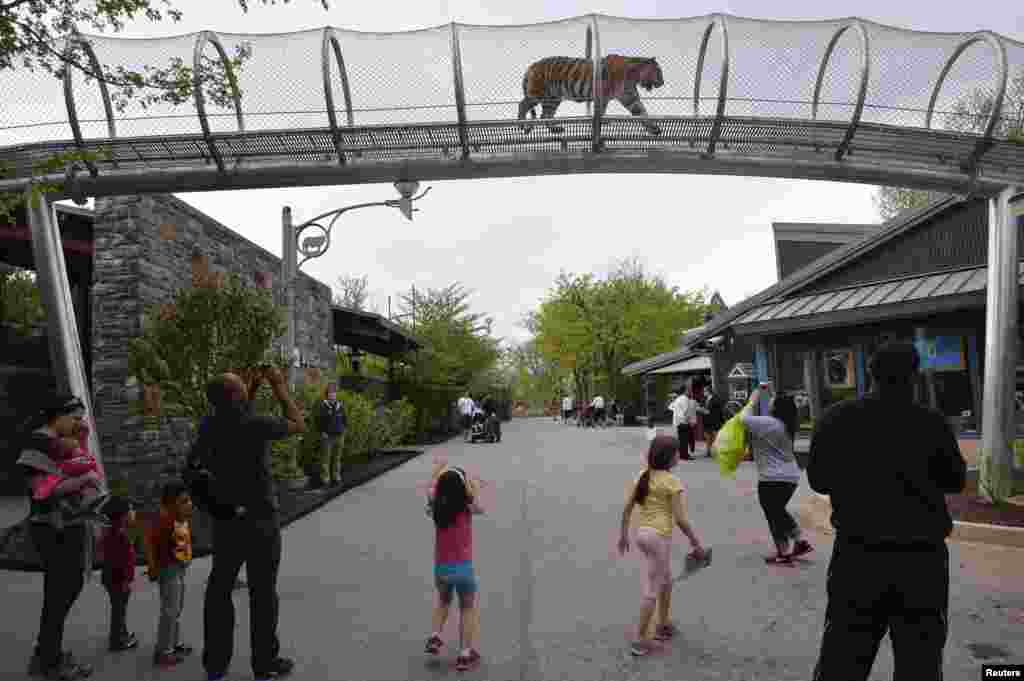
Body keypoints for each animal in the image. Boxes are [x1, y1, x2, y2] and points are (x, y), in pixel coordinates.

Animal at [520, 56, 663, 136]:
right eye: (658, 71)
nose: (663, 82)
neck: (633, 76)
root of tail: (531, 66)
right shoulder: (603, 95)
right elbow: (601, 111)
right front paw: (600, 124)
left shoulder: (630, 98)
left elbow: (642, 112)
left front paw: (655, 129)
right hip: (538, 93)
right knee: (523, 104)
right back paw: (521, 124)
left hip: (553, 99)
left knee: (545, 115)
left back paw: (556, 129)